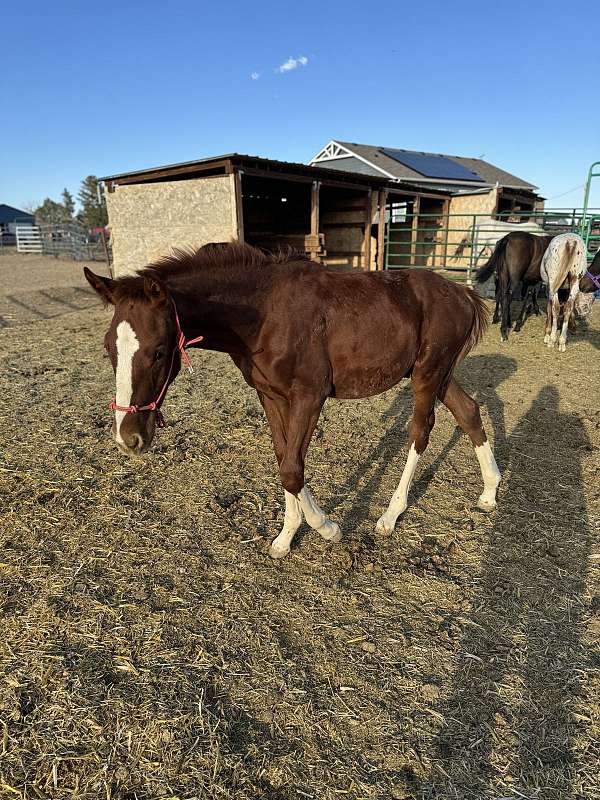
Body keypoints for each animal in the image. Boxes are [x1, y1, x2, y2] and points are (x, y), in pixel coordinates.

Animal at [82, 241, 500, 560]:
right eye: (108, 349)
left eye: (158, 351)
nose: (128, 438)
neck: (265, 312)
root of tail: (464, 294)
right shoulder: (271, 396)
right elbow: (285, 458)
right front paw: (286, 537)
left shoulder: (310, 396)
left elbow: (292, 469)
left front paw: (328, 528)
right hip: (436, 373)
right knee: (469, 411)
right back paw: (490, 491)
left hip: (429, 374)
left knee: (420, 431)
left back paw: (390, 515)